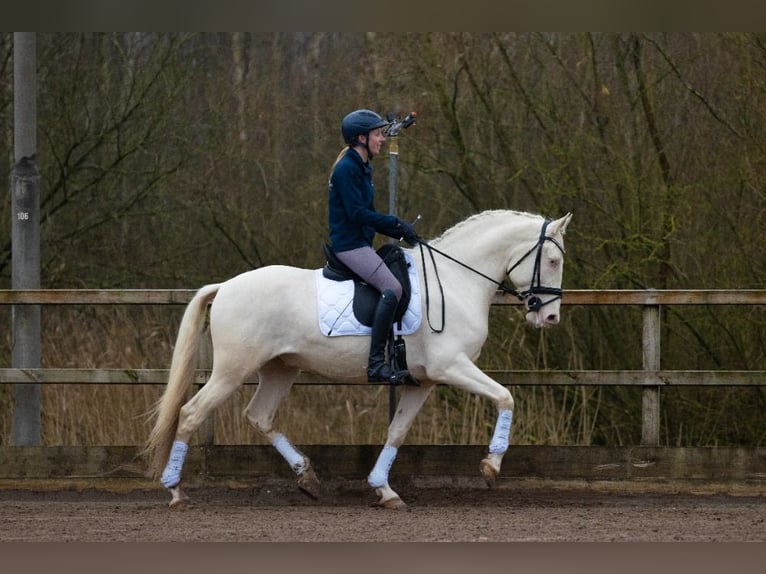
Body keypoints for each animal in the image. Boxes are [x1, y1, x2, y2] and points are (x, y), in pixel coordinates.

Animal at [147, 210, 572, 508]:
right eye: (552, 260)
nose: (550, 317)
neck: (455, 281)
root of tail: (226, 286)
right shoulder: (451, 366)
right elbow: (505, 396)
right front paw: (490, 467)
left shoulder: (424, 381)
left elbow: (397, 431)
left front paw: (384, 491)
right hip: (232, 370)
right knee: (191, 414)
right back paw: (175, 491)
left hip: (281, 368)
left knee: (260, 415)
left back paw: (307, 477)